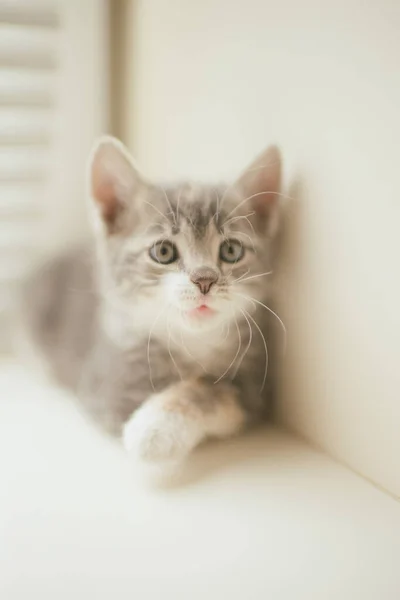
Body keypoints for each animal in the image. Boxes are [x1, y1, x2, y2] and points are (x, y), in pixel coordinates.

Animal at [22, 137, 284, 464]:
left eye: (231, 251)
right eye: (163, 252)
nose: (205, 279)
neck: (193, 343)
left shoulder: (256, 384)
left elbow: (210, 389)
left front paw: (155, 428)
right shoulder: (109, 388)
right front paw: (154, 430)